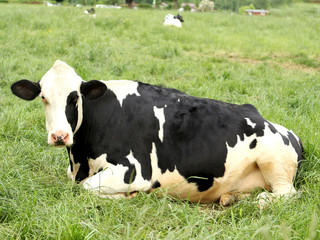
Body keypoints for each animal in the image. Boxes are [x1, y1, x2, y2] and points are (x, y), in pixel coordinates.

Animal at [11, 60, 302, 206]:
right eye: (44, 97)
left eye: (75, 97)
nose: (60, 136)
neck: (80, 159)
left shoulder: (134, 169)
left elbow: (88, 188)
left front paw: (125, 196)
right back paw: (231, 197)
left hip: (274, 161)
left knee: (285, 194)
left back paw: (259, 199)